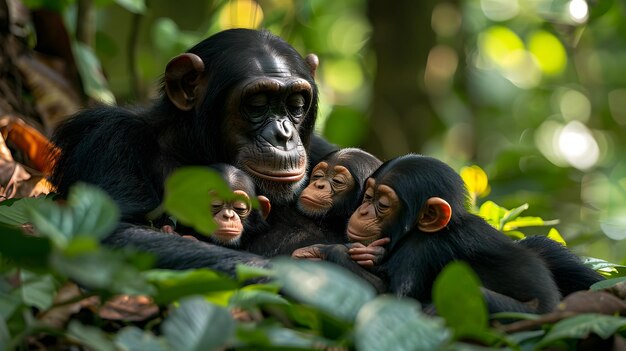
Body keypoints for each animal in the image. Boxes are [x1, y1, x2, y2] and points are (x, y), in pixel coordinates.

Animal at [48, 28, 326, 276]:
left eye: (295, 105)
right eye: (257, 105)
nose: (284, 135)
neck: (190, 148)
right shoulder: (109, 137)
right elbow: (115, 230)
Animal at [298, 155, 560, 314]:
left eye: (382, 204)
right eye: (367, 196)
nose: (362, 212)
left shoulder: (422, 249)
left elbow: (392, 300)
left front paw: (326, 251)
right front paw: (373, 254)